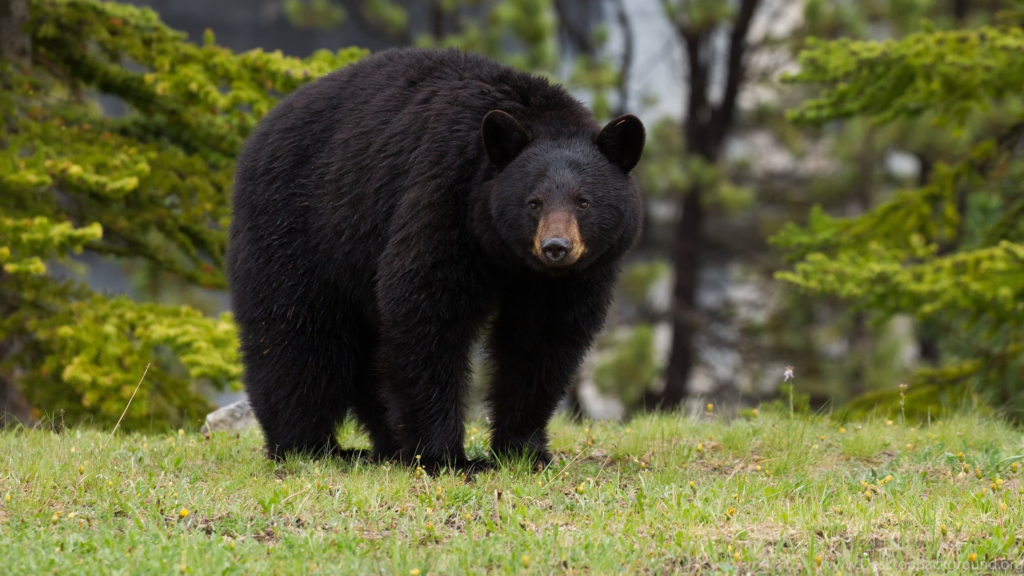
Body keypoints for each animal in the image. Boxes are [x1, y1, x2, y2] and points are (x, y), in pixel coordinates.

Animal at [229, 48, 643, 471]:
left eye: (583, 201)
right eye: (534, 202)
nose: (556, 247)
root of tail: (261, 129)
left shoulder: (568, 278)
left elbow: (542, 339)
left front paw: (523, 450)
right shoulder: (444, 196)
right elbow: (427, 312)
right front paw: (447, 457)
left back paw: (385, 445)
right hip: (300, 226)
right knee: (295, 334)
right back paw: (309, 447)